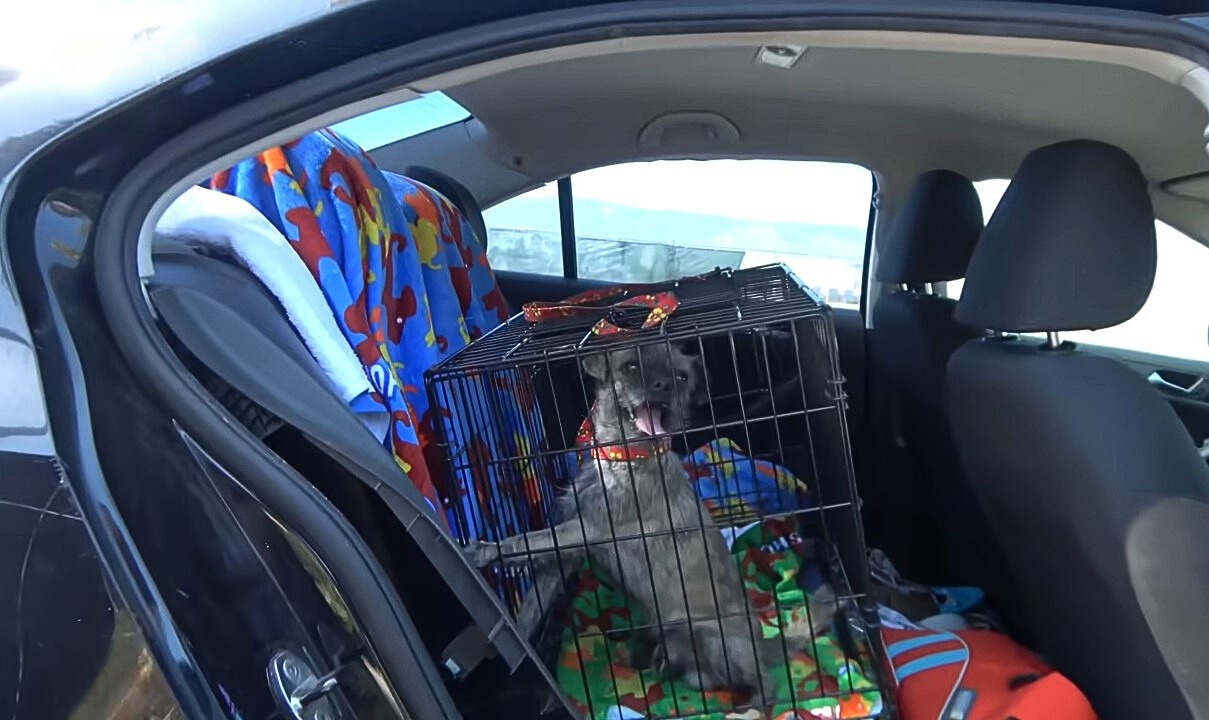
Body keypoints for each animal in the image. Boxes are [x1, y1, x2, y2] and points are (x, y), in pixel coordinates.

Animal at [466, 343, 836, 695]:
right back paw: (658, 665)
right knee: (703, 679)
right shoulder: (566, 556)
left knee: (766, 683)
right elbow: (533, 599)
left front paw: (487, 550)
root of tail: (763, 646)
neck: (625, 455)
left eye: (682, 377)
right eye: (630, 366)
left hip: (715, 638)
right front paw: (515, 634)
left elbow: (530, 539)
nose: (664, 386)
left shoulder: (587, 529)